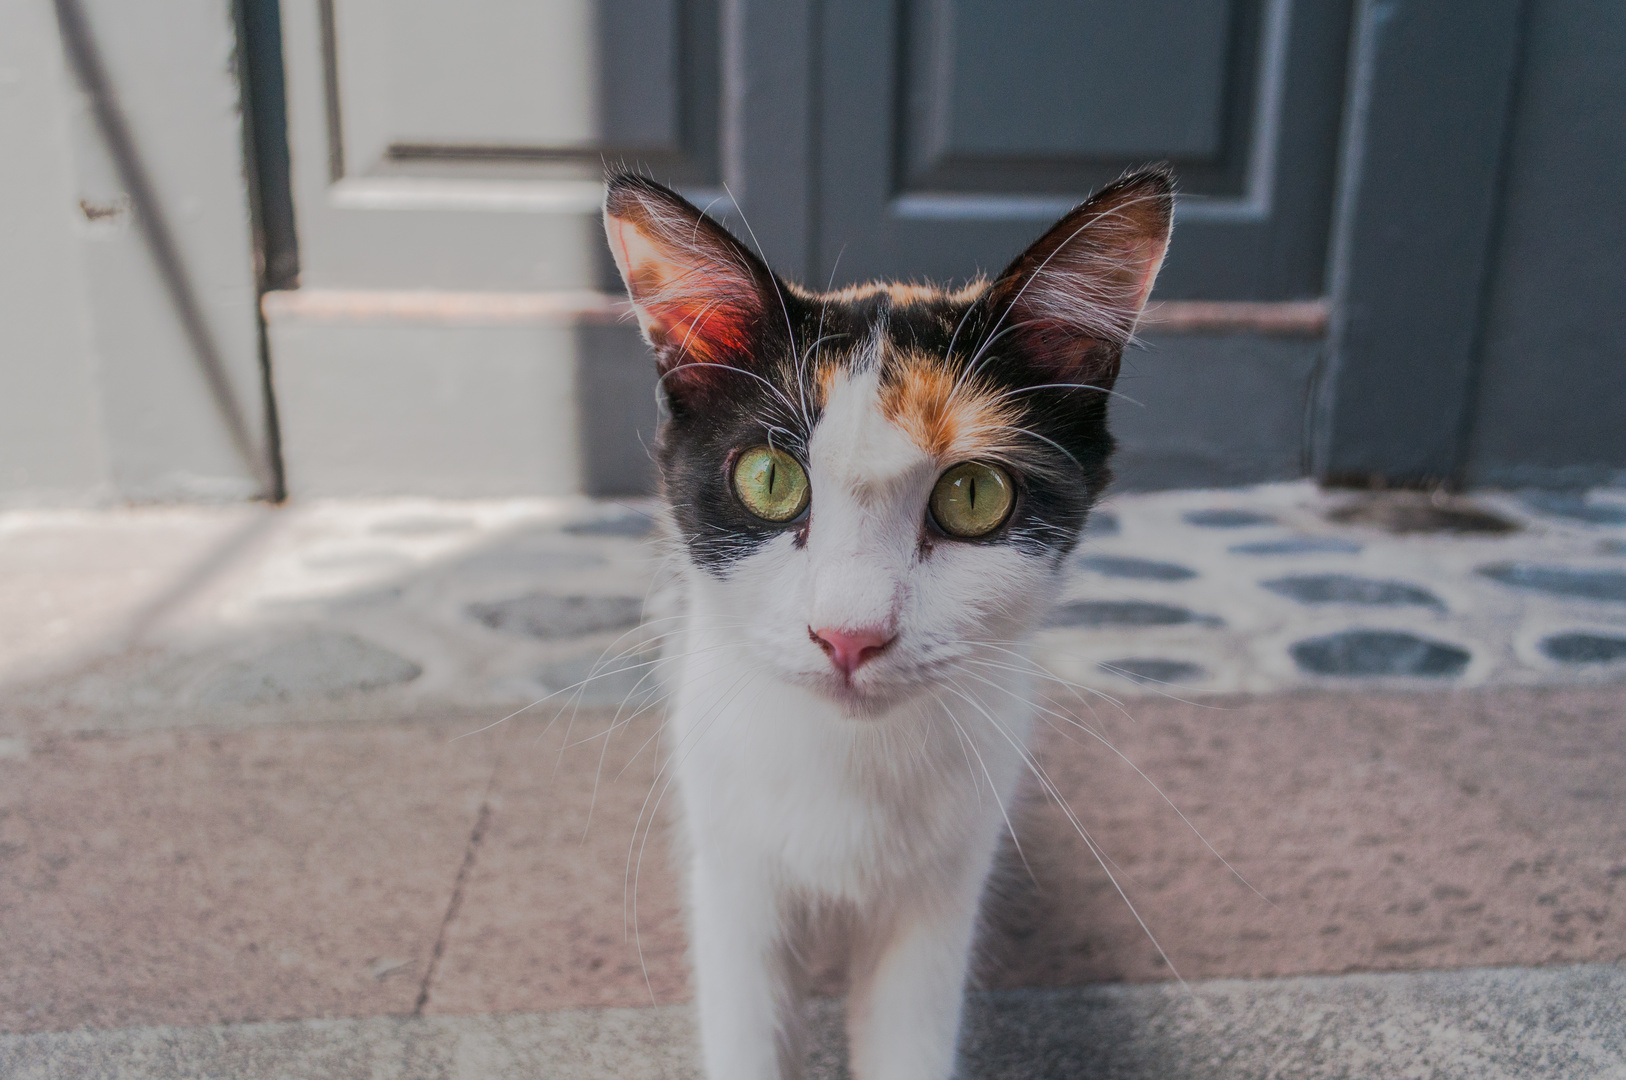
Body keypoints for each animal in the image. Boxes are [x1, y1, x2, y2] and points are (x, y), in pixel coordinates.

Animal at [604, 166, 1177, 1080]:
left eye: (975, 494)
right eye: (769, 479)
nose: (850, 635)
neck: (848, 761)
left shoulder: (944, 882)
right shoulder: (733, 866)